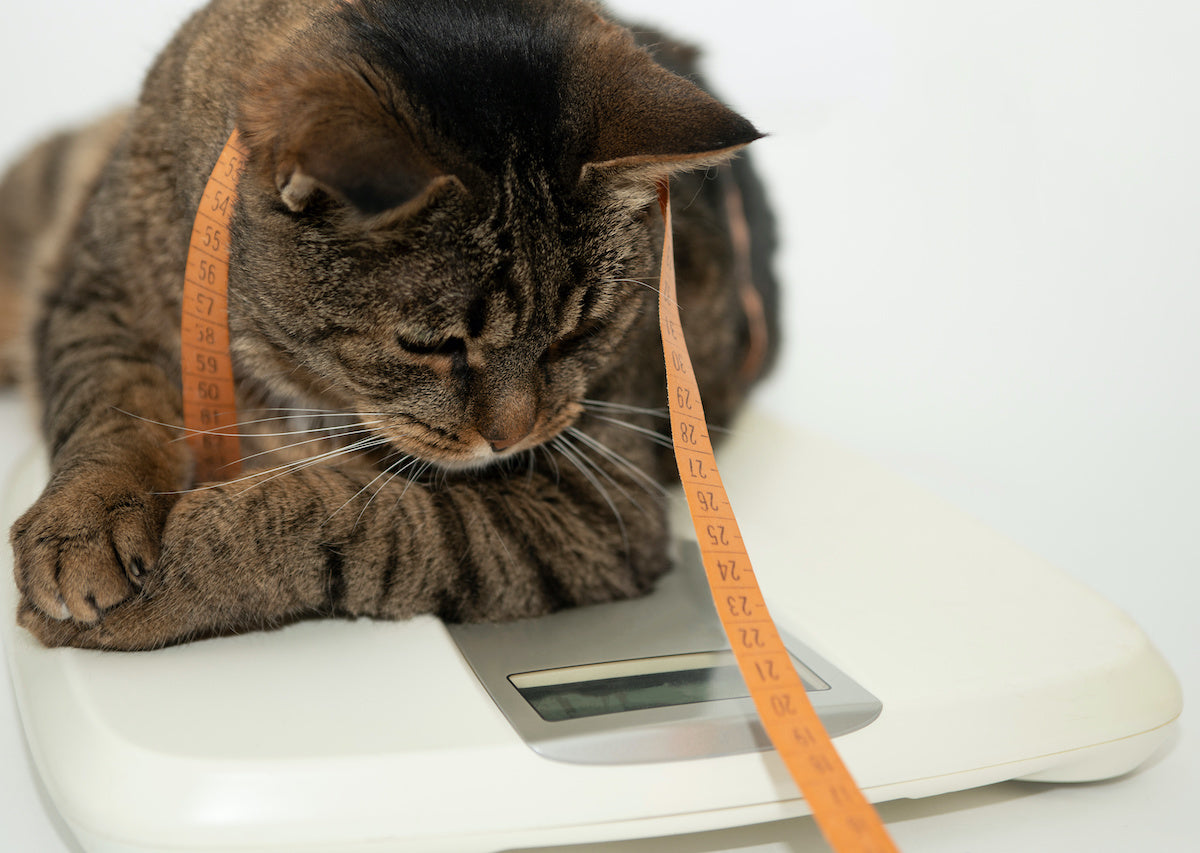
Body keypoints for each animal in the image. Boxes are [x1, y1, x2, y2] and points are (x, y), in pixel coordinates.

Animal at [0, 0, 777, 652]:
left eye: (578, 332)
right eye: (432, 345)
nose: (512, 437)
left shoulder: (597, 510)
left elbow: (357, 520)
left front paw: (172, 577)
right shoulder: (100, 290)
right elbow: (108, 407)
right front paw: (83, 523)